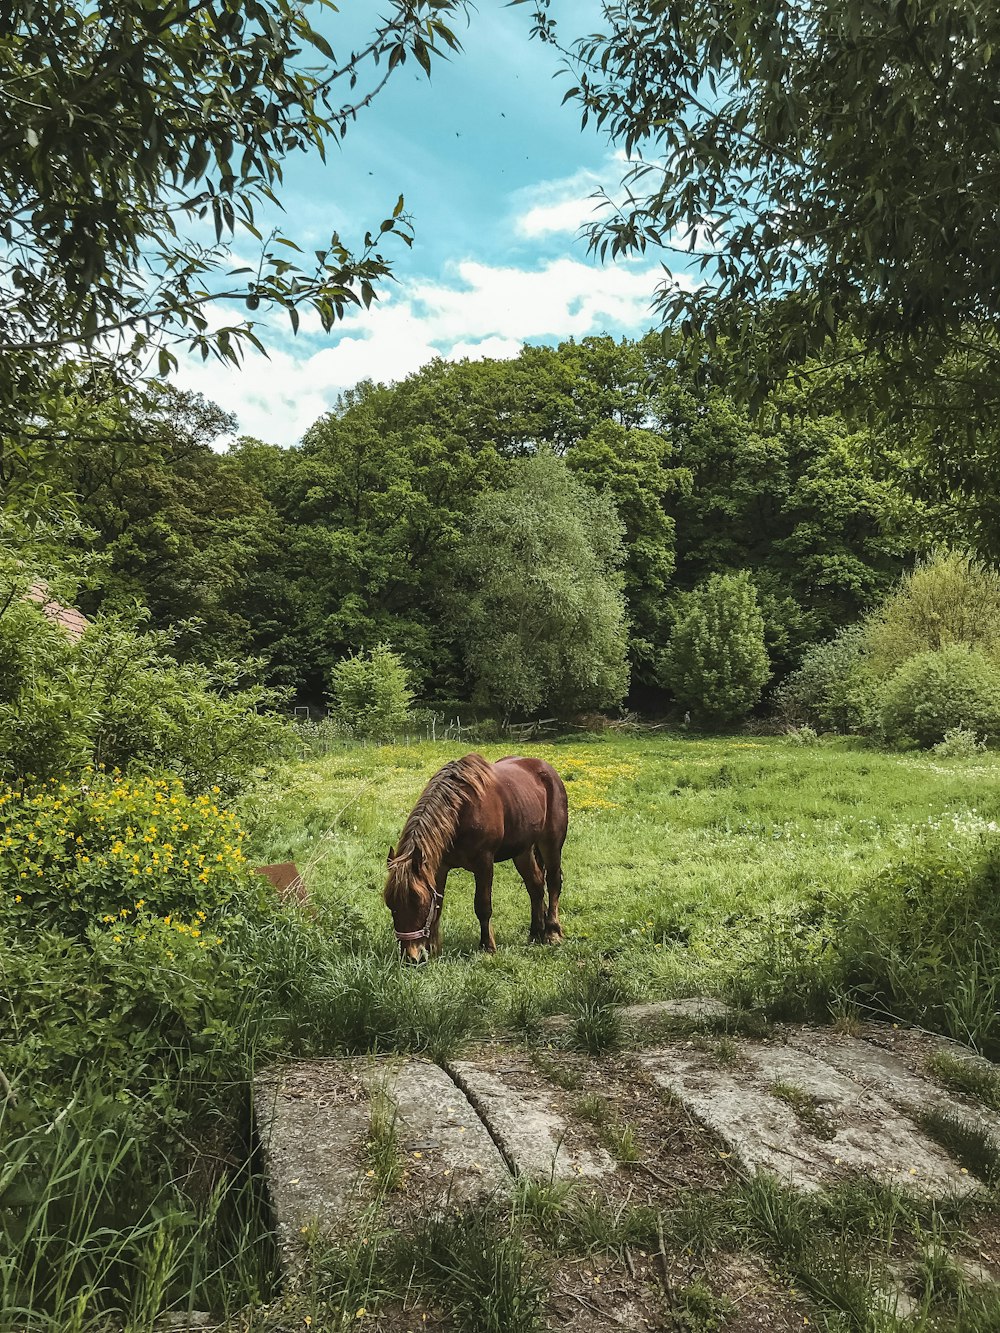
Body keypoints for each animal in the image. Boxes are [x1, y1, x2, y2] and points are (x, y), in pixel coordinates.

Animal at [386, 757, 568, 965]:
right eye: (391, 905)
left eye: (419, 903)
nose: (410, 957)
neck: (461, 811)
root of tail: (547, 769)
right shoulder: (440, 868)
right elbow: (438, 906)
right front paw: (432, 948)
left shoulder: (484, 864)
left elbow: (483, 906)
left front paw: (487, 947)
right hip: (523, 849)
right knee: (535, 886)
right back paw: (535, 932)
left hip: (551, 843)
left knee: (553, 883)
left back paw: (552, 932)